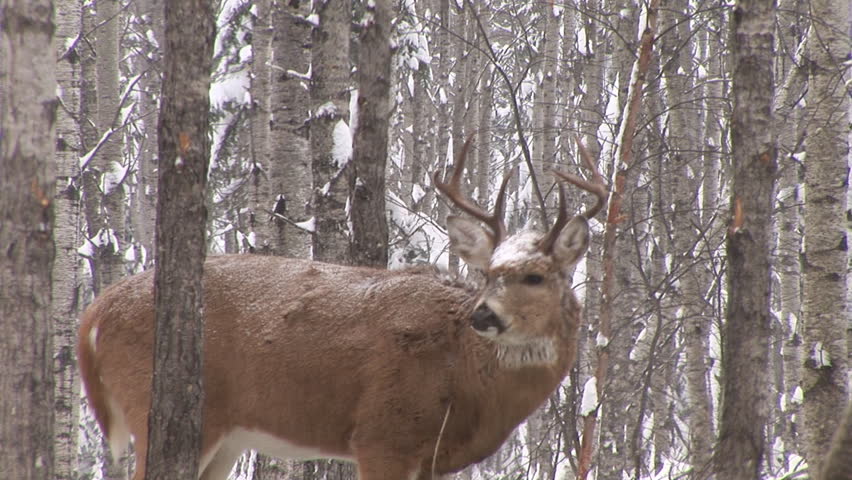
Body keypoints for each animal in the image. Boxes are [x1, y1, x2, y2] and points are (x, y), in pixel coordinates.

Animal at [77, 137, 607, 480]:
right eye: (489, 273)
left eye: (535, 276)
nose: (484, 315)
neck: (464, 376)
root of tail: (96, 312)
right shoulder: (381, 435)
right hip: (157, 407)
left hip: (225, 437)